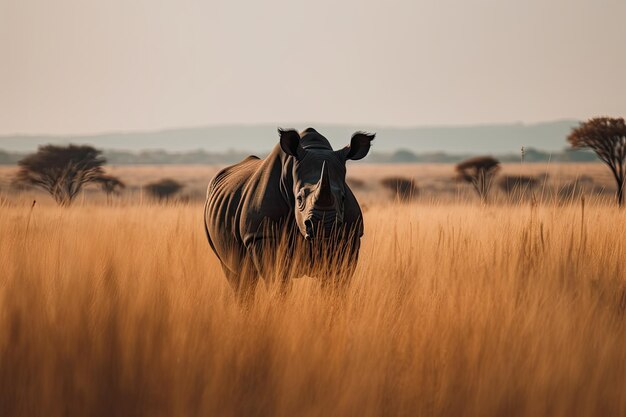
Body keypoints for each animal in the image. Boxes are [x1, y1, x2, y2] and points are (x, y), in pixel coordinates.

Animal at [202, 127, 372, 300]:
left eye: (343, 198)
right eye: (299, 198)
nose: (323, 227)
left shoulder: (349, 236)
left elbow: (336, 283)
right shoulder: (261, 234)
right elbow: (278, 282)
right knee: (238, 275)